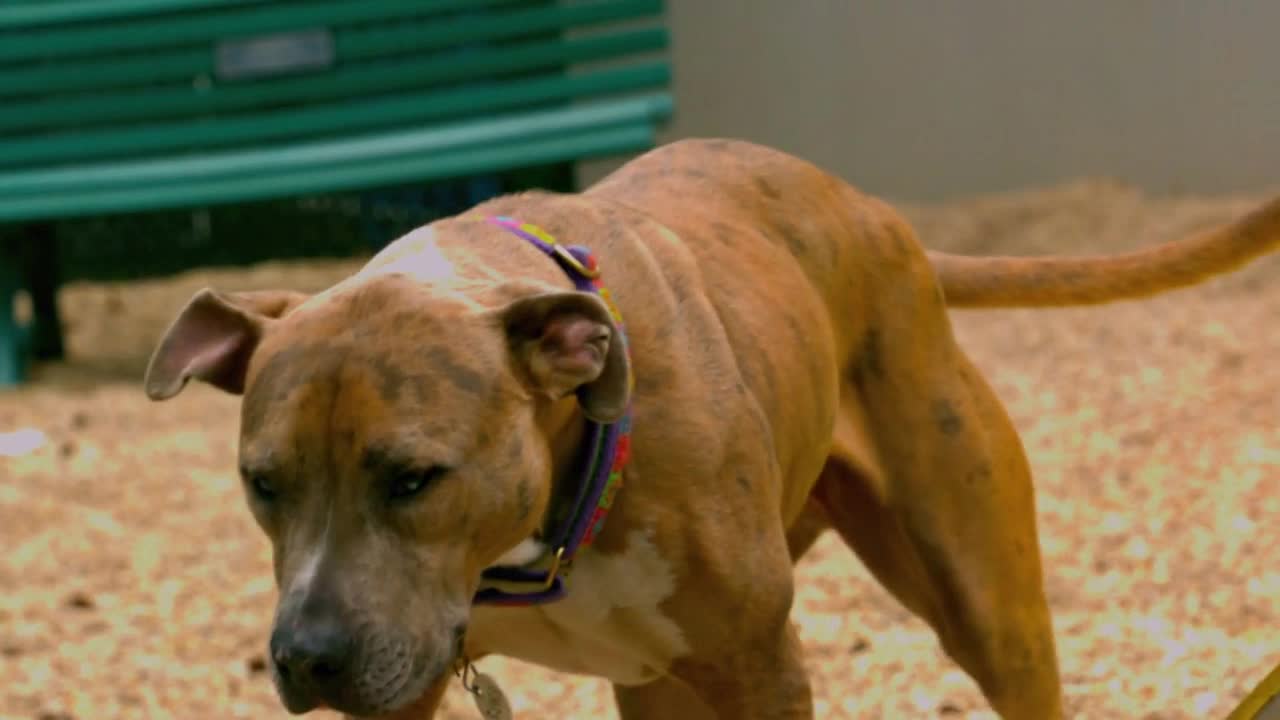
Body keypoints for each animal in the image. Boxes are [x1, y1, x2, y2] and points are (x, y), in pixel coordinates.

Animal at [142, 137, 1280, 712]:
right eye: (263, 483)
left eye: (414, 478)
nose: (306, 657)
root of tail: (889, 226)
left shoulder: (757, 669)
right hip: (660, 686)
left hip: (987, 609)